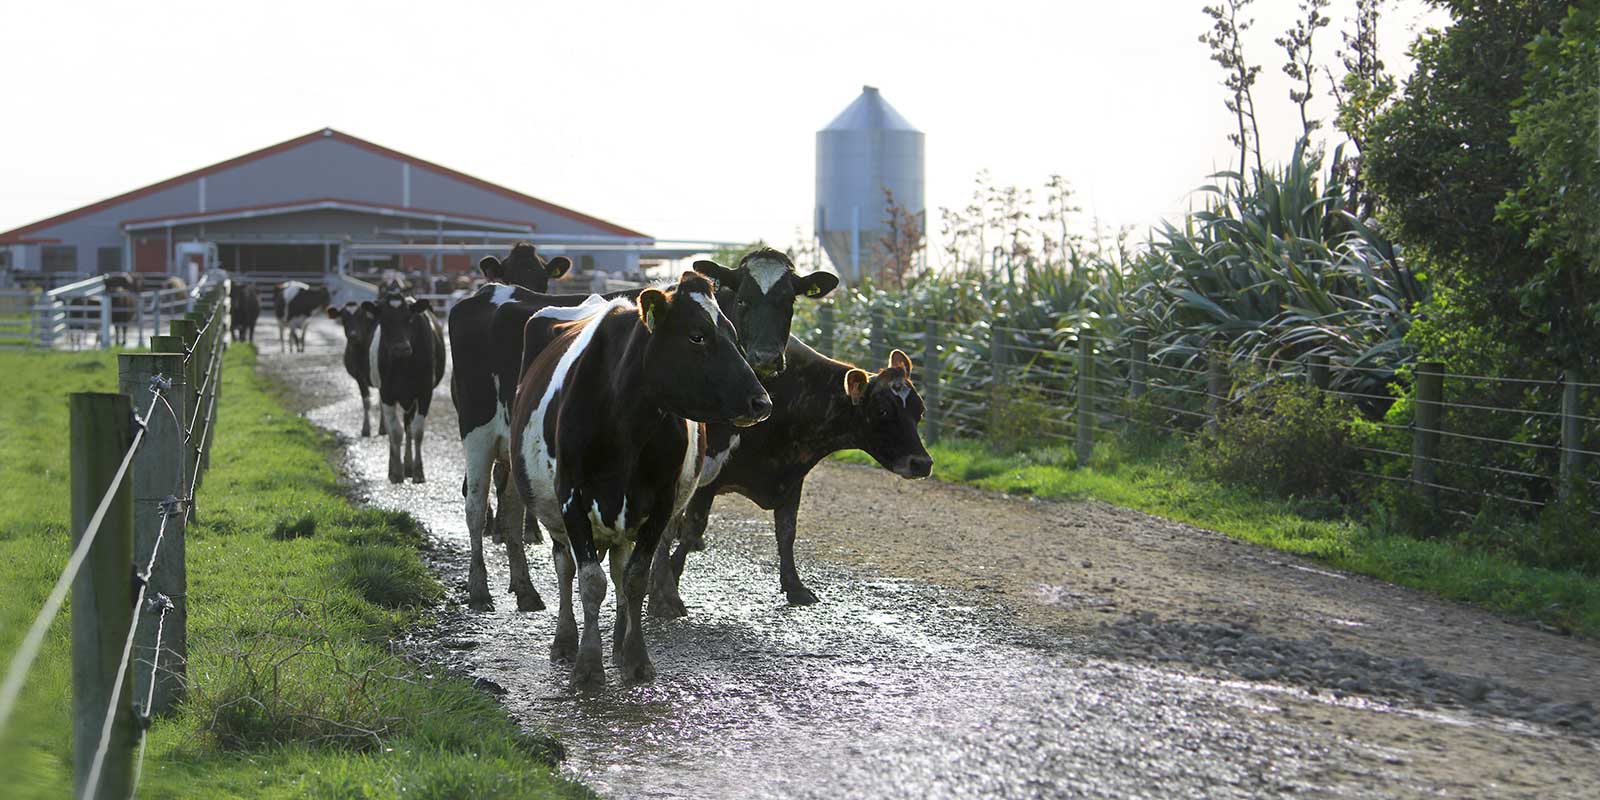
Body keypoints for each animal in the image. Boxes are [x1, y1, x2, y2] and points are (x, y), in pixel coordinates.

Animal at [326, 300, 385, 438]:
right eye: (343, 317)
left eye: (361, 316)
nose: (353, 335)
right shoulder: (359, 377)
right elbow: (366, 401)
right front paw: (366, 430)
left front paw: (383, 429)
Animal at [369, 288, 448, 486]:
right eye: (384, 320)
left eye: (410, 318)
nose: (401, 348)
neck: (403, 364)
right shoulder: (386, 393)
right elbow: (395, 432)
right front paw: (396, 472)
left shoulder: (425, 393)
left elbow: (417, 431)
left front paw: (418, 471)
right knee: (394, 430)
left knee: (408, 426)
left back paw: (409, 466)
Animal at [505, 272, 768, 684]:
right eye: (697, 335)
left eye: (733, 334)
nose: (762, 402)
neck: (626, 424)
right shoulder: (571, 498)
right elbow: (590, 582)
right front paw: (588, 665)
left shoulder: (660, 501)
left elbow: (634, 579)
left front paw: (636, 657)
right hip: (552, 510)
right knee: (565, 568)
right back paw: (565, 641)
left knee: (618, 569)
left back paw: (617, 641)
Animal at [643, 340, 934, 614]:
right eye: (882, 410)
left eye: (920, 410)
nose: (922, 463)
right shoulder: (707, 477)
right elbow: (693, 526)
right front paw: (668, 584)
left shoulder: (794, 476)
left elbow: (786, 531)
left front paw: (795, 586)